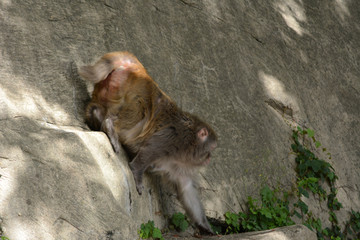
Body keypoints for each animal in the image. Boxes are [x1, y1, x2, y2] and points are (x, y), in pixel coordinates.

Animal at [79, 51, 217, 234]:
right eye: (211, 149)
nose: (209, 158)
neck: (186, 144)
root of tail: (138, 69)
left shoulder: (178, 164)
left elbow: (186, 189)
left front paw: (205, 227)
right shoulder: (171, 138)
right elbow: (148, 152)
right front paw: (137, 173)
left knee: (97, 109)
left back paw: (97, 117)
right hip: (136, 91)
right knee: (141, 112)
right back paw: (110, 127)